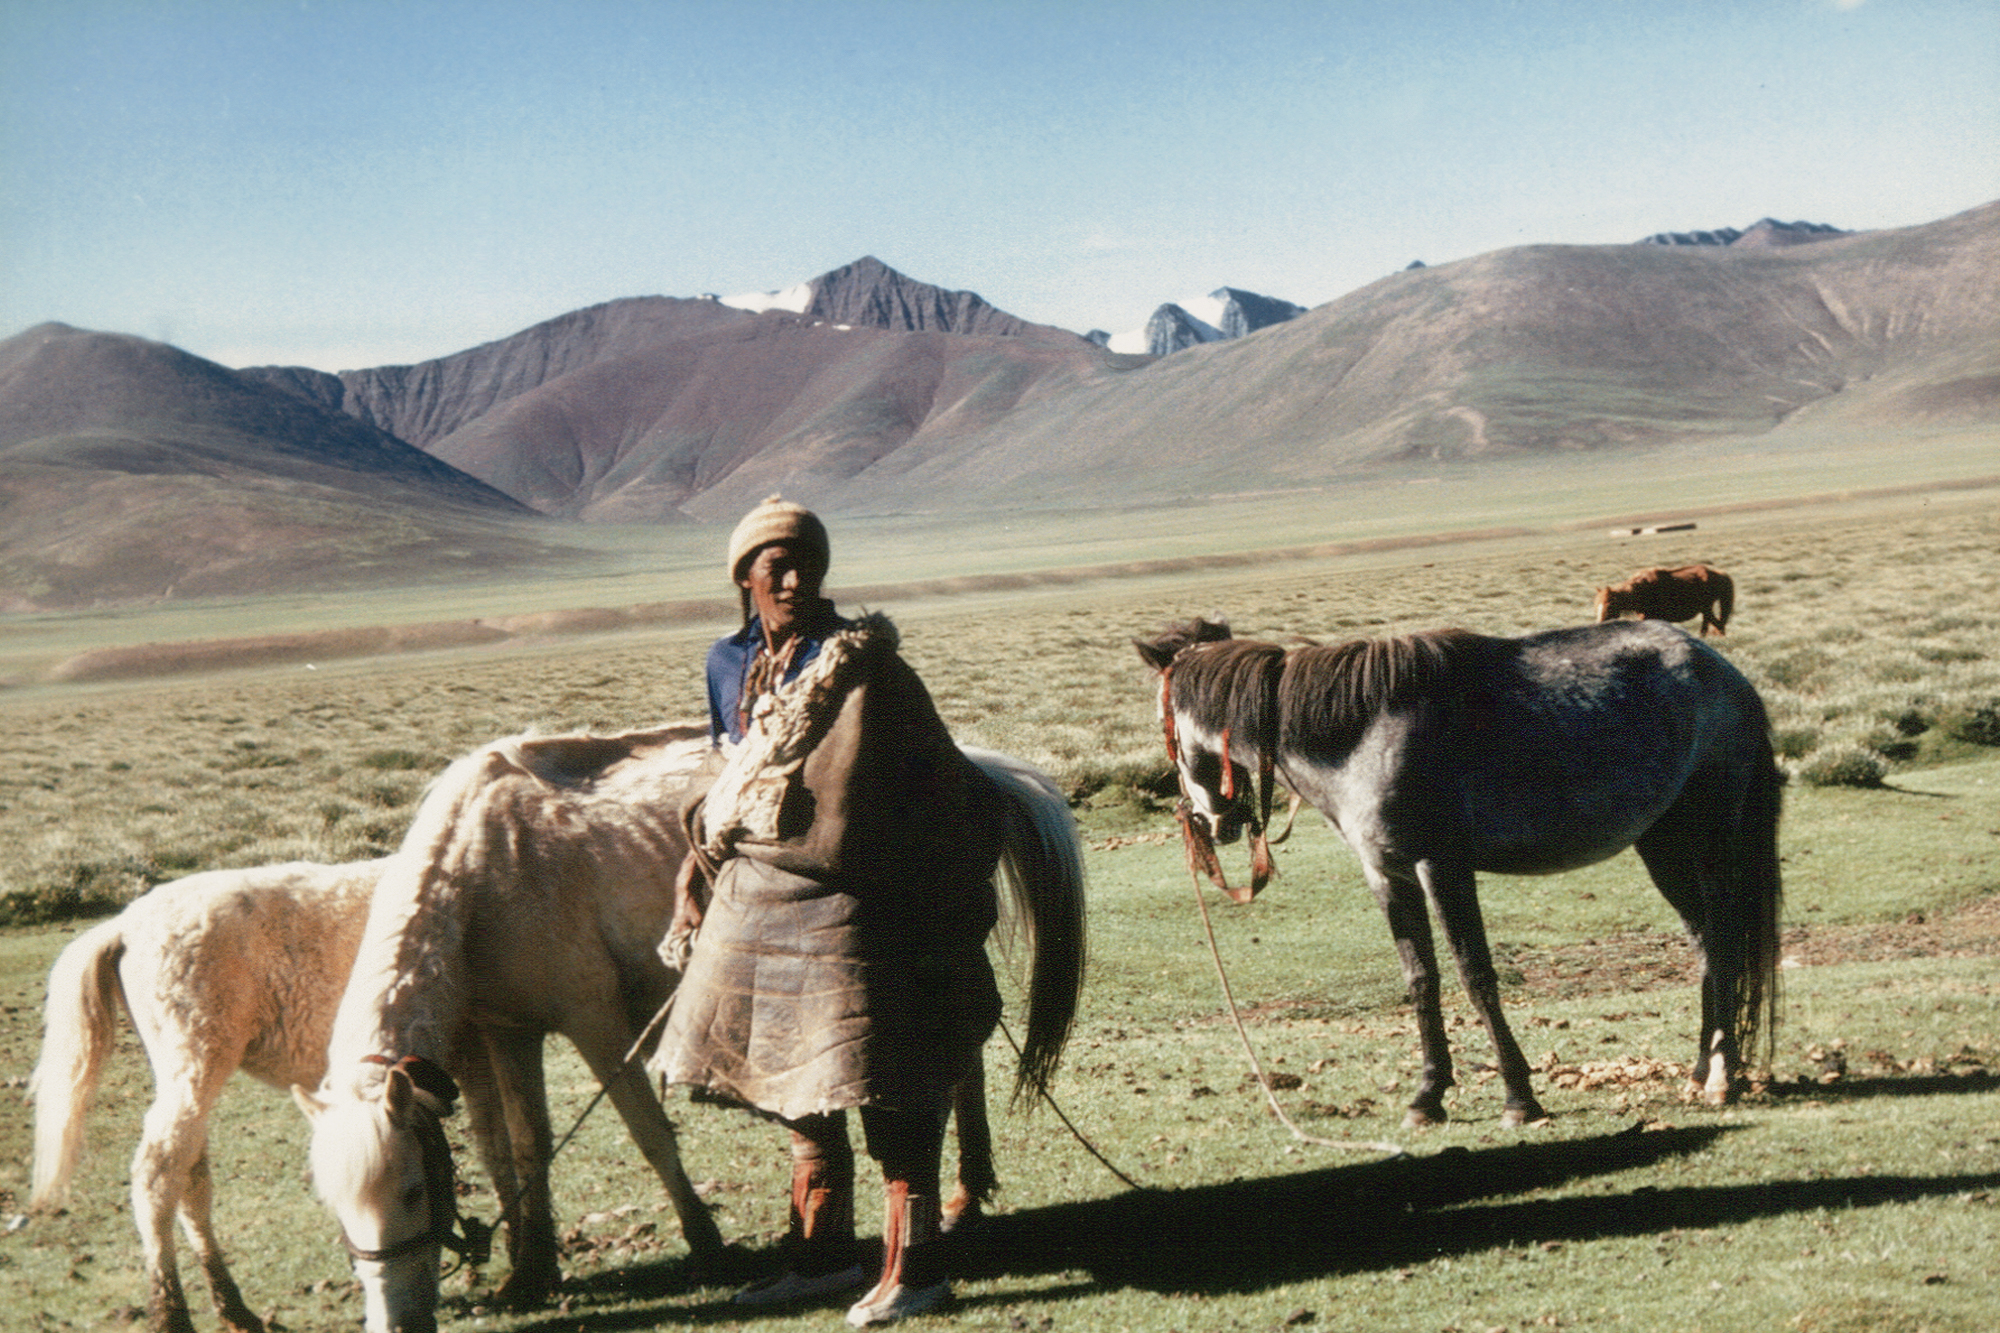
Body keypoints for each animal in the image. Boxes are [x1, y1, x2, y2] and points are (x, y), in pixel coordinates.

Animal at [294, 724, 1085, 1333]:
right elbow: (523, 1147)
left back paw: (962, 1199)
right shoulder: (507, 1031)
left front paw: (708, 1243)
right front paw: (531, 1271)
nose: (396, 1322)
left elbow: (647, 1129)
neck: (480, 870)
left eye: (411, 1191)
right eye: (336, 1208)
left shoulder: (593, 1019)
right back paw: (963, 1196)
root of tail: (971, 762)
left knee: (957, 1065)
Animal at [1134, 617, 1783, 1129]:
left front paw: (1519, 1098)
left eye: (1165, 725)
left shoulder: (1441, 867)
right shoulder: (1388, 875)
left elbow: (1475, 975)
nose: (1209, 822)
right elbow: (1421, 978)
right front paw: (1428, 1096)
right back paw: (1700, 1070)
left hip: (1710, 835)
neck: (1360, 736)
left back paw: (1722, 1076)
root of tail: (1725, 673)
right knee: (1705, 943)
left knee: (1725, 938)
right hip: (1661, 844)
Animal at [1595, 563, 1734, 636]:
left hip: (1707, 609)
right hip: (1705, 610)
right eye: (1596, 605)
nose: (1599, 624)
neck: (1641, 590)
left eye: (1609, 605)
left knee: (1718, 625)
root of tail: (1719, 574)